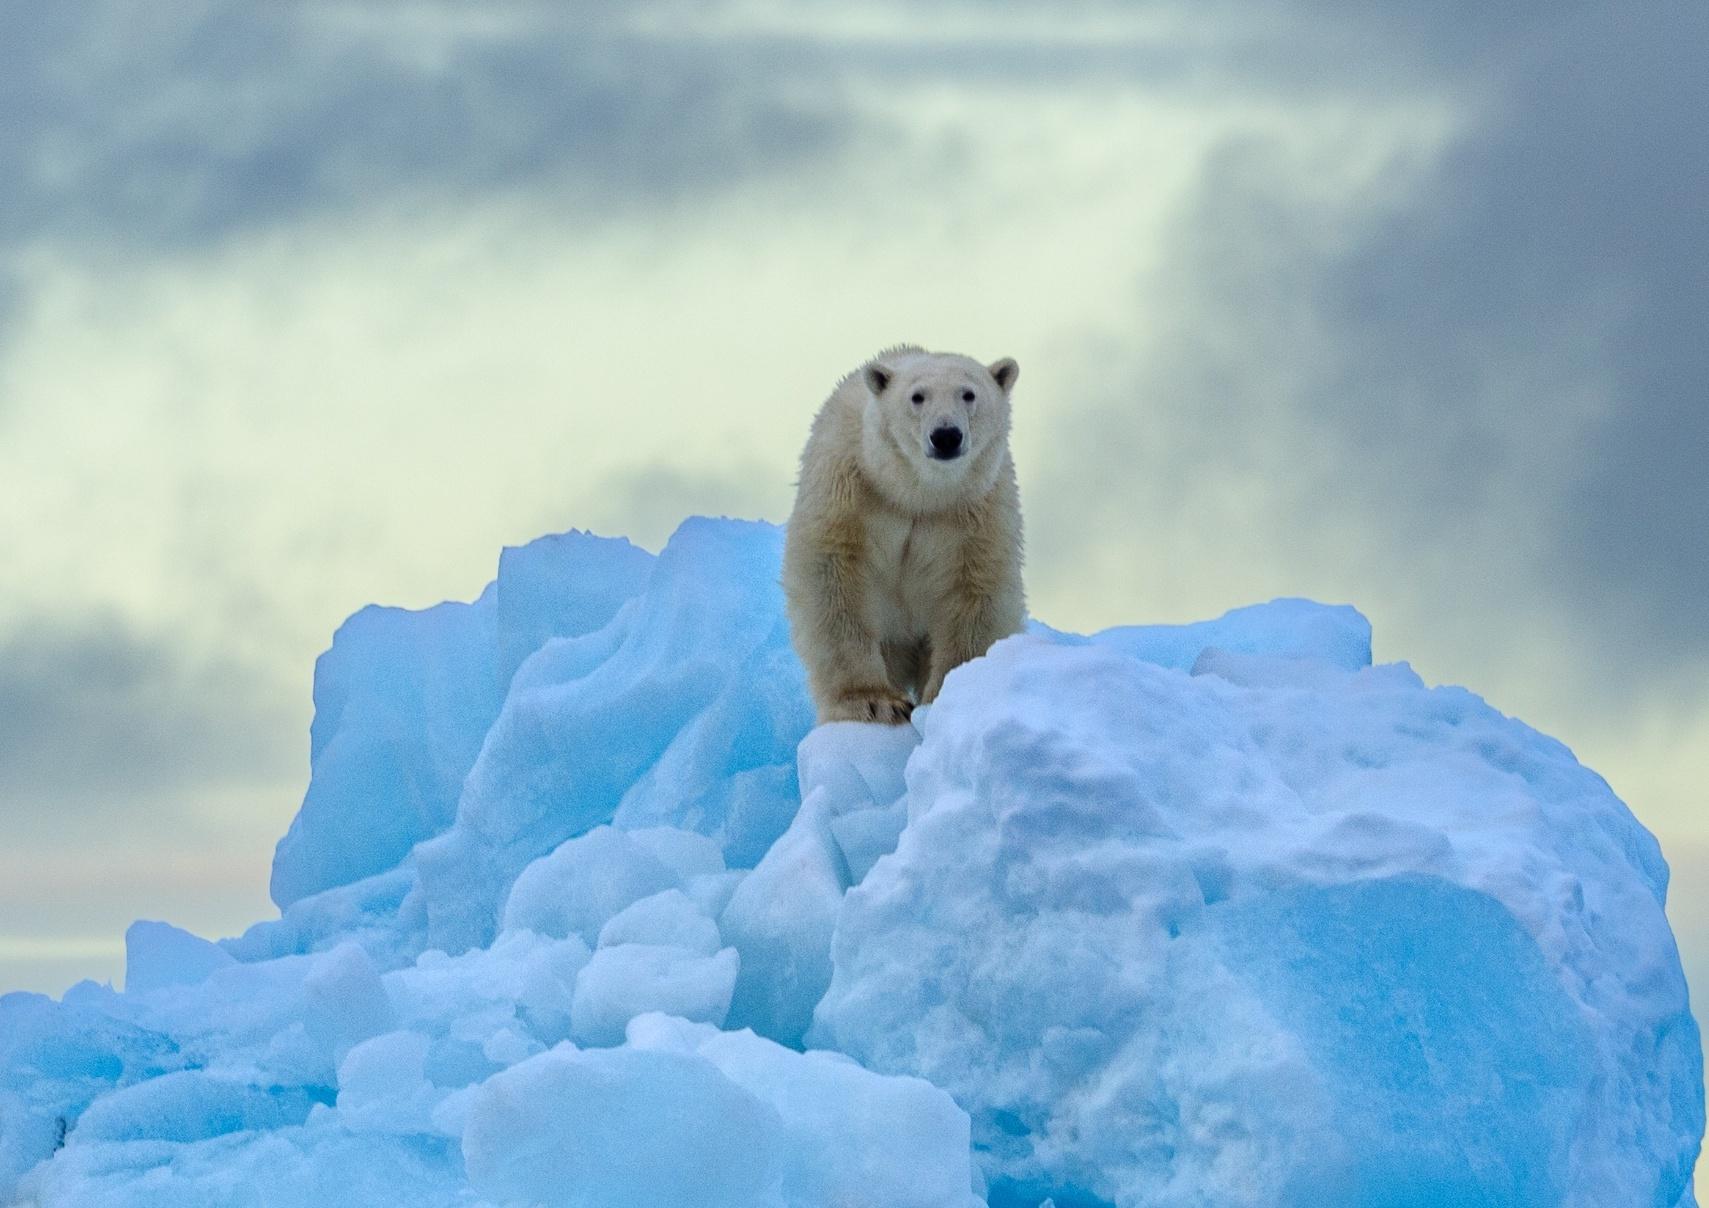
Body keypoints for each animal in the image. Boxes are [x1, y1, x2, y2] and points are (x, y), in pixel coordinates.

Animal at [783, 345, 1026, 724]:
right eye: (917, 396)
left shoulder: (977, 511)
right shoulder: (847, 487)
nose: (946, 435)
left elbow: (977, 592)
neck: (915, 492)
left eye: (968, 394)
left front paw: (945, 695)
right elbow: (832, 578)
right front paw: (874, 702)